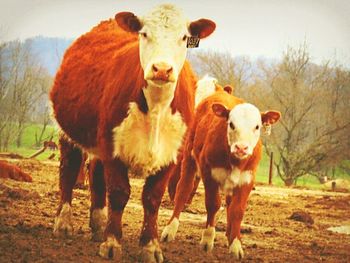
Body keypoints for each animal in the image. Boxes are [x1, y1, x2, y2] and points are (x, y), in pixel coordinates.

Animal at [49, 3, 216, 262]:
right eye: (144, 34)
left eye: (184, 37)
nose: (162, 69)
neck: (156, 107)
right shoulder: (113, 147)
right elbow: (118, 193)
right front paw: (112, 243)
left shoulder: (171, 155)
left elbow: (152, 199)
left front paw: (150, 246)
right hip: (69, 132)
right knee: (69, 168)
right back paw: (64, 222)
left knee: (95, 171)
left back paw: (98, 222)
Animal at [160, 88, 280, 260]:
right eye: (231, 124)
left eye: (257, 126)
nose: (241, 148)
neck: (234, 160)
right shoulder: (209, 172)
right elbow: (213, 204)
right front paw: (208, 239)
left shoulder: (247, 179)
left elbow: (237, 210)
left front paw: (235, 244)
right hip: (189, 157)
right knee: (183, 191)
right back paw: (170, 229)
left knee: (229, 204)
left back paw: (229, 234)